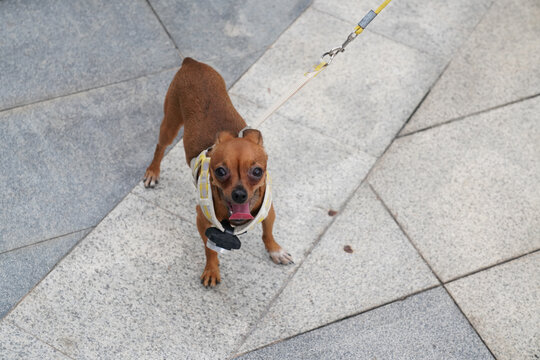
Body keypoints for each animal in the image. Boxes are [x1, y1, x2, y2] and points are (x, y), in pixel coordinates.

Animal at [143, 58, 294, 286]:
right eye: (221, 171)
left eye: (257, 171)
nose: (239, 193)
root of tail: (191, 62)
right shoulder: (203, 222)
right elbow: (210, 250)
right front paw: (212, 270)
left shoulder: (268, 212)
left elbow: (268, 233)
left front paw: (275, 250)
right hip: (170, 123)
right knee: (160, 147)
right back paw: (153, 171)